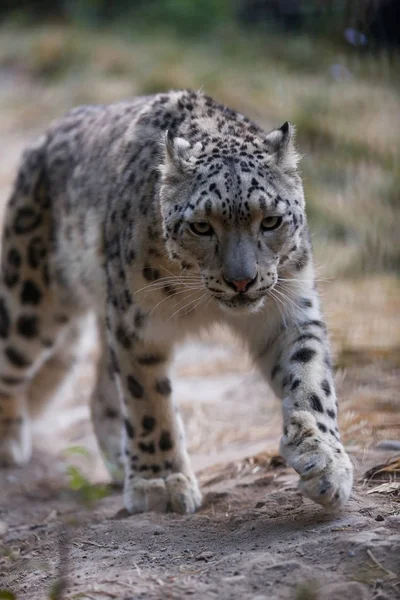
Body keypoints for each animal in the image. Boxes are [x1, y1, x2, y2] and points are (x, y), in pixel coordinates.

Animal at [0, 91, 354, 512]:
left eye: (270, 221)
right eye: (201, 226)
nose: (241, 280)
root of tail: (42, 139)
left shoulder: (290, 307)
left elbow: (311, 376)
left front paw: (325, 461)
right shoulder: (140, 323)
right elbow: (148, 399)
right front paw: (160, 483)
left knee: (102, 389)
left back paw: (119, 460)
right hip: (31, 298)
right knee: (13, 356)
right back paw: (9, 442)